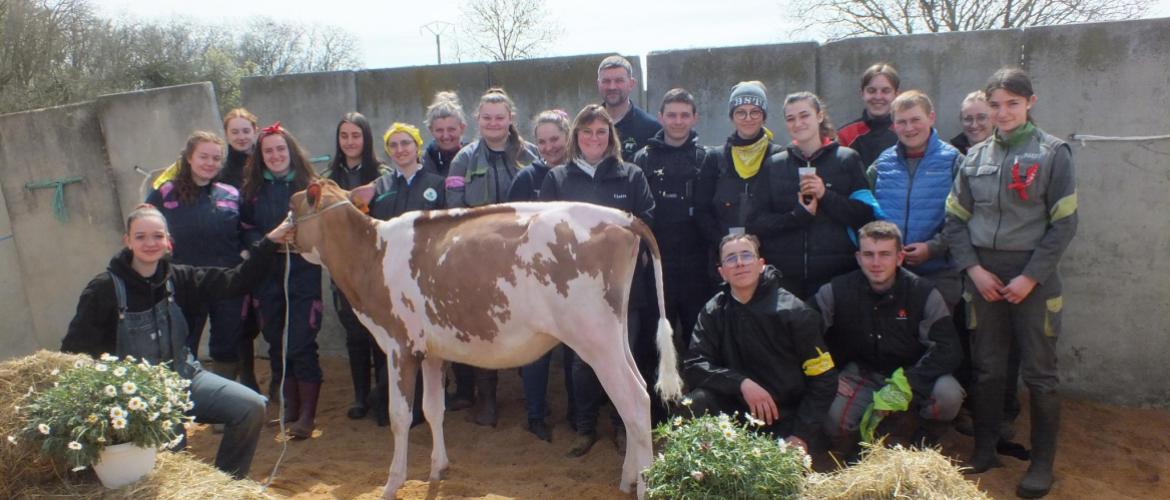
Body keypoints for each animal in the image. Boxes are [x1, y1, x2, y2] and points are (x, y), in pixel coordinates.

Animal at [286, 179, 683, 496]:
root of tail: (622, 217)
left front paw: (391, 484)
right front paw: (438, 469)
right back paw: (629, 479)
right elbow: (433, 409)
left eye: (293, 206)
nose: (275, 235)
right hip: (614, 335)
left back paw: (644, 487)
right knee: (636, 392)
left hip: (595, 338)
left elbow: (400, 415)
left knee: (634, 400)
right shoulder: (431, 352)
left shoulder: (399, 346)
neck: (372, 254)